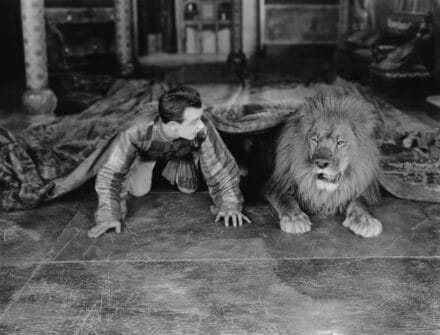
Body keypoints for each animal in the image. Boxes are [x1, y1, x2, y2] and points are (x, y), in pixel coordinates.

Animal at [262, 94, 384, 239]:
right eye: (315, 139)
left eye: (340, 142)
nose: (321, 163)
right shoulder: (277, 183)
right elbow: (285, 199)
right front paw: (294, 218)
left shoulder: (363, 187)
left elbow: (359, 202)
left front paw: (365, 220)